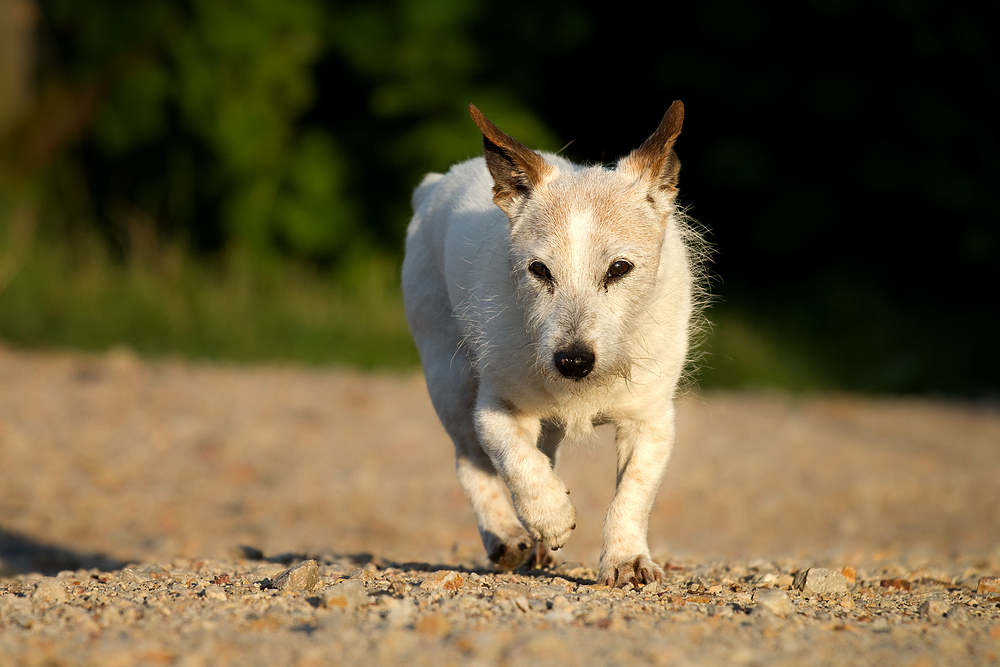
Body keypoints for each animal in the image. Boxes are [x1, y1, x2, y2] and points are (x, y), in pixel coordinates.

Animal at [400, 100, 704, 588]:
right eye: (539, 270)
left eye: (619, 268)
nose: (572, 361)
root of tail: (434, 185)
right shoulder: (495, 409)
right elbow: (516, 461)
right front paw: (551, 515)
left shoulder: (650, 421)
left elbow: (633, 492)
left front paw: (626, 559)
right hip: (448, 378)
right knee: (471, 461)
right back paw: (508, 535)